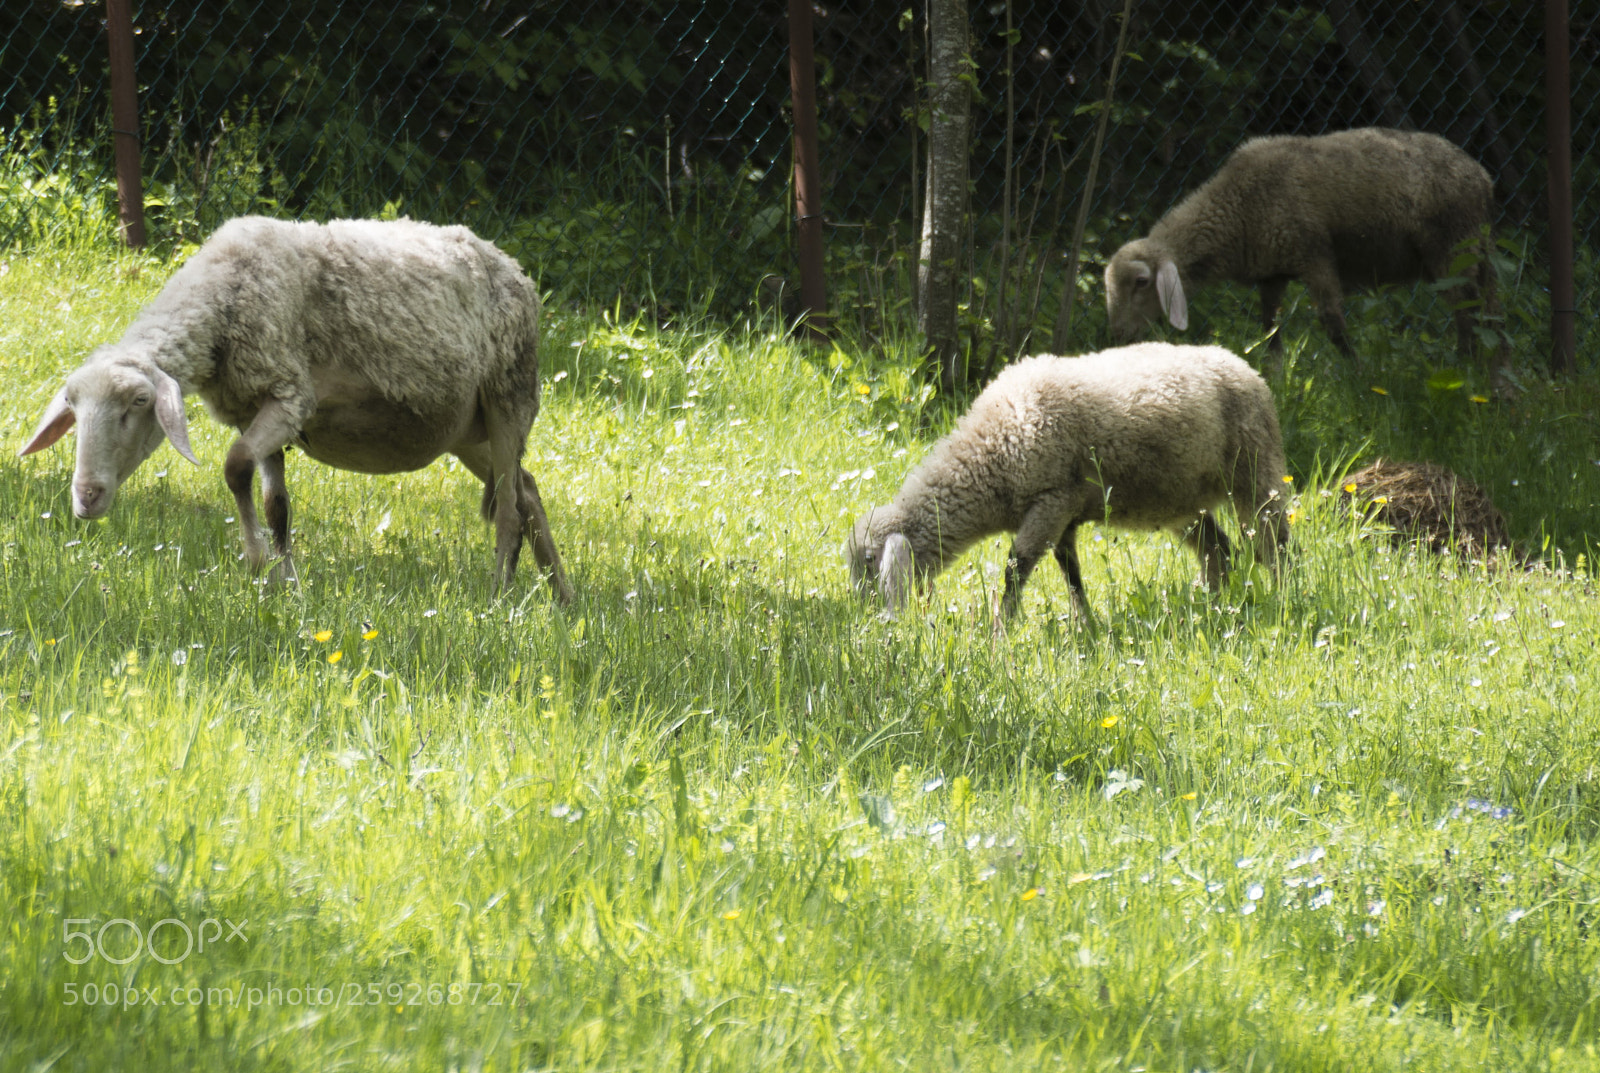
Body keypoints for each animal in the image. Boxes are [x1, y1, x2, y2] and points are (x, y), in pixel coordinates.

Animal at [19, 215, 573, 602]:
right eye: (72, 409)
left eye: (138, 403)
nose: (86, 497)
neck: (225, 294)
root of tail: (515, 269)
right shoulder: (254, 409)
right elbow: (276, 505)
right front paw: (286, 585)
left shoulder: (290, 397)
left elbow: (235, 466)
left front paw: (255, 559)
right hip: (465, 430)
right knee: (527, 489)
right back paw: (561, 598)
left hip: (509, 395)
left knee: (508, 509)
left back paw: (499, 597)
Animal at [844, 342, 1289, 621]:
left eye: (869, 563)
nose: (863, 617)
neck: (987, 459)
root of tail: (1243, 365)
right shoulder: (1064, 517)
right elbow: (1071, 576)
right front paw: (1085, 627)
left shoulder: (1051, 501)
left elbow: (1015, 568)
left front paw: (1002, 630)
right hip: (1181, 499)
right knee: (1219, 550)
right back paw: (1210, 605)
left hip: (1255, 469)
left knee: (1276, 544)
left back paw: (1286, 596)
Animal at [1104, 128, 1503, 368]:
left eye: (1141, 283)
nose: (1117, 337)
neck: (1237, 206)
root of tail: (1482, 177)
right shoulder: (1272, 271)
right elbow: (1270, 327)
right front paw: (1275, 370)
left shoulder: (1313, 255)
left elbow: (1332, 321)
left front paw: (1356, 372)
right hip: (1470, 252)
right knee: (1488, 312)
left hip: (1453, 249)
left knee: (1468, 311)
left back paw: (1466, 366)